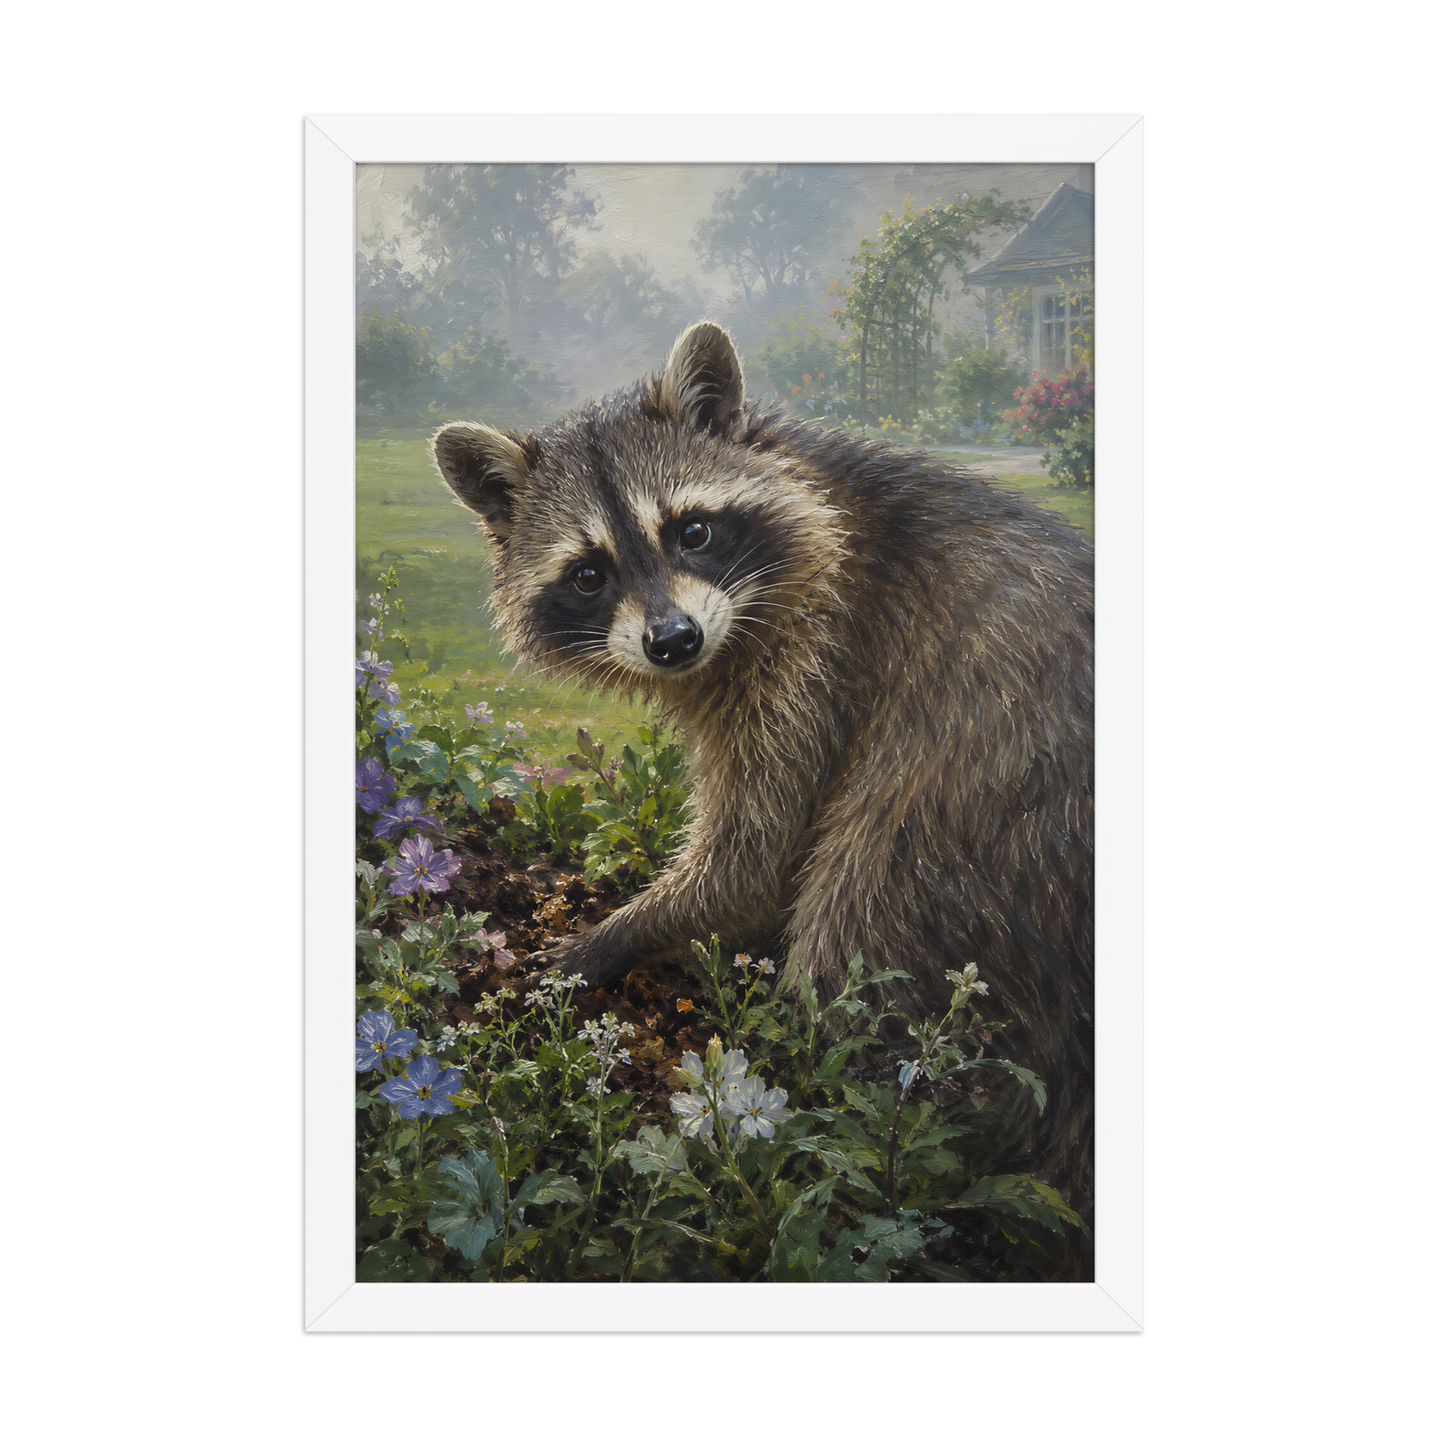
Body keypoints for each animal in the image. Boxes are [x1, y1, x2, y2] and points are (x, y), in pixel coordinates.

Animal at [432, 322, 1094, 1266]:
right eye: (588, 573)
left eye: (694, 529)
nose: (673, 641)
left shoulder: (820, 656)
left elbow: (754, 857)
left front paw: (612, 936)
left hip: (976, 827)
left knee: (859, 925)